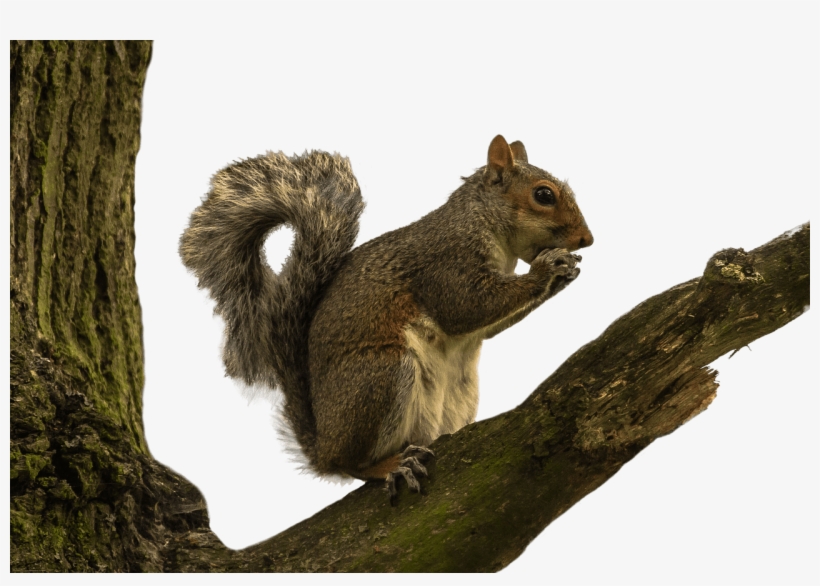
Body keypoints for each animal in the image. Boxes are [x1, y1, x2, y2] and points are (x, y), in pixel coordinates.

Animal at [180, 135, 593, 498]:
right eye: (543, 195)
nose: (586, 240)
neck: (484, 222)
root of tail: (323, 445)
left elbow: (487, 325)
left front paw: (565, 272)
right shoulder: (447, 263)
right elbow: (465, 308)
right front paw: (545, 270)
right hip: (381, 374)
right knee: (352, 464)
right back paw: (390, 465)